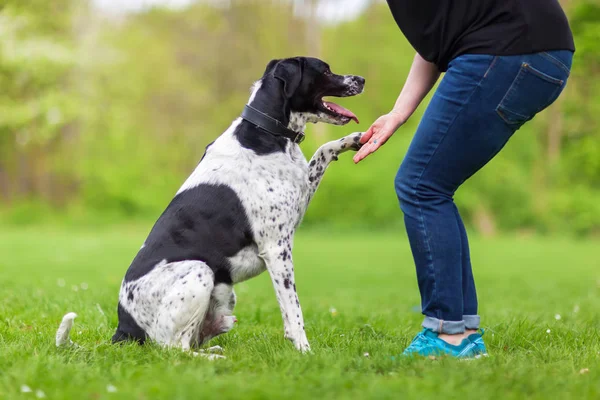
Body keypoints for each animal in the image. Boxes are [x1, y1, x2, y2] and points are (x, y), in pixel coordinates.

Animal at [57, 56, 366, 356]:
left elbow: (322, 151)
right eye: (325, 70)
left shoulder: (301, 193)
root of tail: (123, 330)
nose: (361, 79)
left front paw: (352, 141)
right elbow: (294, 312)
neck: (266, 132)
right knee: (174, 349)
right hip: (199, 271)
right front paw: (305, 351)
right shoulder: (276, 248)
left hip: (222, 293)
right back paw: (213, 358)